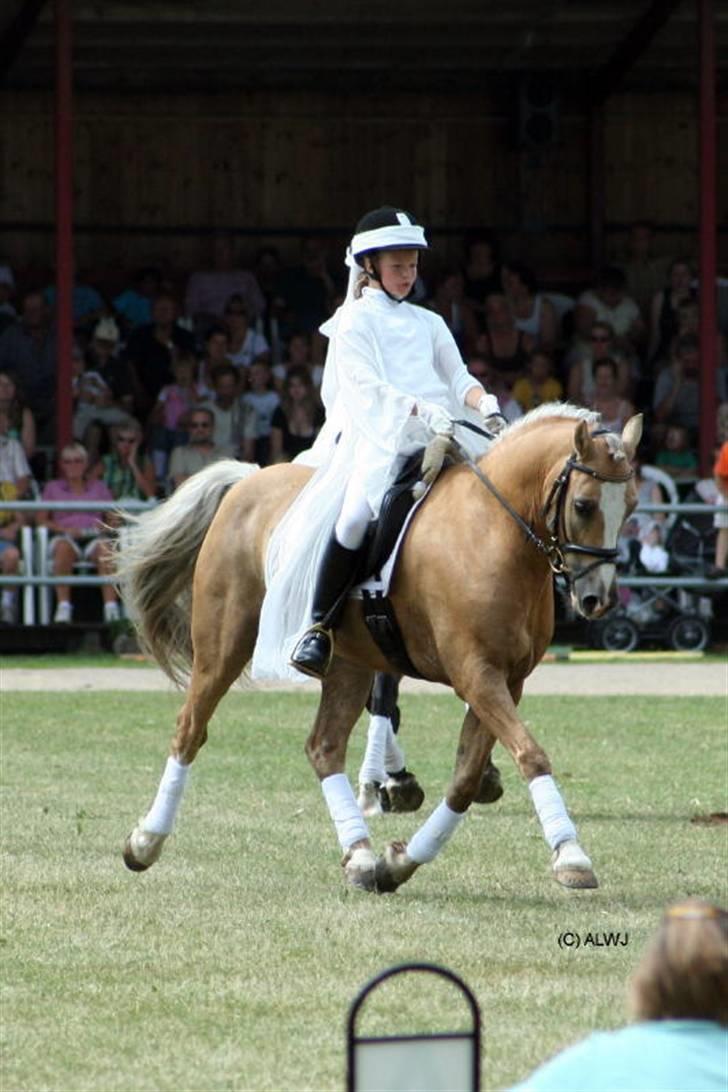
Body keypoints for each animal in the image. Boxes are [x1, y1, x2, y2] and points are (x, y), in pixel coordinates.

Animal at [117, 404, 642, 894]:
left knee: (324, 746)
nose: (597, 599)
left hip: (348, 663)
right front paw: (571, 855)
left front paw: (400, 862)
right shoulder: (476, 673)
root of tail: (248, 480)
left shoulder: (506, 680)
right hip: (223, 644)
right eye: (584, 505)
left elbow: (466, 778)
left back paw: (361, 855)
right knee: (190, 729)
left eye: (633, 505)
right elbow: (531, 754)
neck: (493, 531)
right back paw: (145, 842)